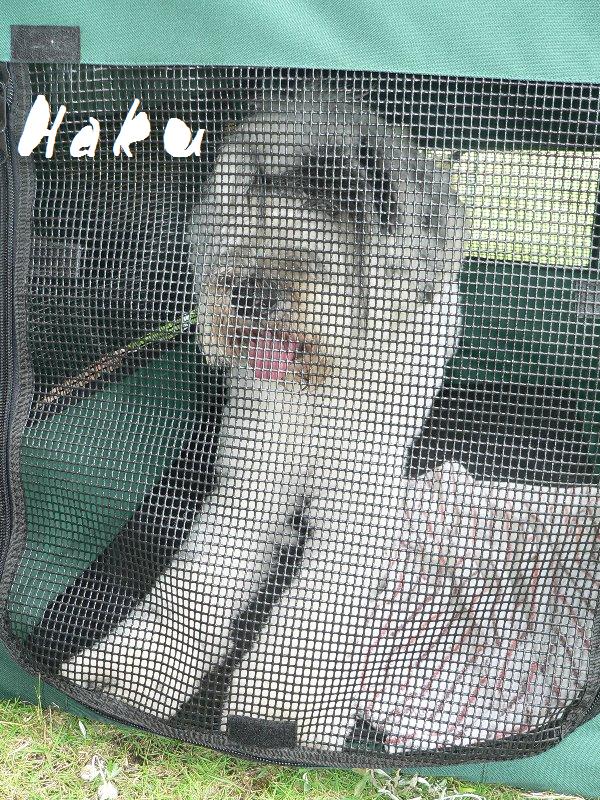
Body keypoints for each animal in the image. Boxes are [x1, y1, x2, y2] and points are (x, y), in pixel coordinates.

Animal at [59, 80, 465, 727]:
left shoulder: (360, 507)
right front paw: (127, 671)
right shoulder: (251, 479)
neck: (318, 388)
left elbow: (314, 609)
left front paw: (275, 703)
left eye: (345, 196)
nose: (249, 294)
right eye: (253, 189)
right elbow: (195, 581)